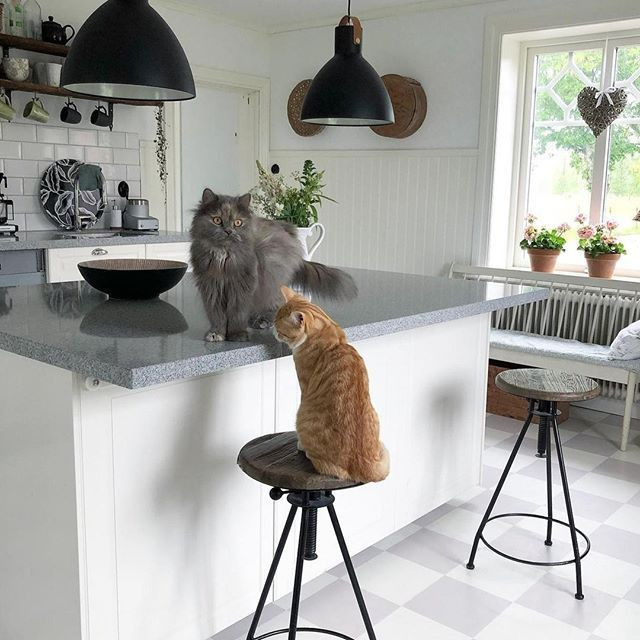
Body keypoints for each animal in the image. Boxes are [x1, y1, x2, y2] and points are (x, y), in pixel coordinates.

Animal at [190, 189, 357, 342]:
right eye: (217, 220)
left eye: (238, 223)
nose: (228, 231)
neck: (223, 256)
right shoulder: (211, 287)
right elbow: (216, 314)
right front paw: (216, 333)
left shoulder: (242, 287)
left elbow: (237, 312)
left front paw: (237, 334)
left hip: (270, 279)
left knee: (276, 304)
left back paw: (264, 321)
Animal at [274, 285, 389, 484]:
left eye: (280, 330)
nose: (273, 330)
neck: (326, 330)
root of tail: (362, 465)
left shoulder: (304, 386)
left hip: (303, 415)